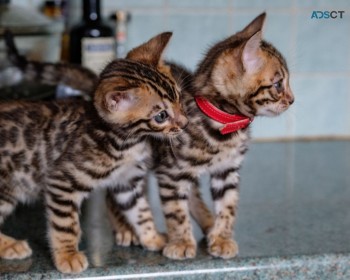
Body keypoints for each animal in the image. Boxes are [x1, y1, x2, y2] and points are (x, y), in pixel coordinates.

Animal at [0, 31, 189, 272]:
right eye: (161, 116)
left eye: (179, 97)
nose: (184, 123)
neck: (127, 142)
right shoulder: (61, 182)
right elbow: (65, 225)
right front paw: (67, 256)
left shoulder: (127, 182)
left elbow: (141, 212)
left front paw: (152, 237)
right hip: (7, 187)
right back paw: (10, 246)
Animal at [108, 12, 294, 260]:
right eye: (278, 84)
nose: (292, 99)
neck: (224, 125)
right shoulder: (170, 173)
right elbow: (176, 211)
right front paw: (181, 242)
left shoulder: (227, 170)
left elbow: (228, 205)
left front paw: (222, 238)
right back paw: (124, 228)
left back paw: (208, 223)